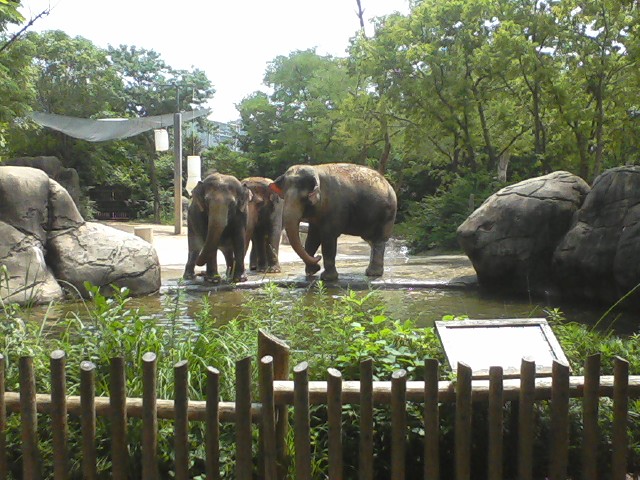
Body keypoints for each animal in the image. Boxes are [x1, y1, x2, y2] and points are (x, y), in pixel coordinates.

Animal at [269, 163, 397, 281]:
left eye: (304, 198)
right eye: (284, 196)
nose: (318, 258)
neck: (316, 170)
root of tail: (388, 183)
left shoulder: (335, 207)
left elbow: (327, 238)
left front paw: (327, 278)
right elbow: (312, 238)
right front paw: (311, 272)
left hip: (386, 215)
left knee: (378, 241)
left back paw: (373, 274)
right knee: (371, 240)